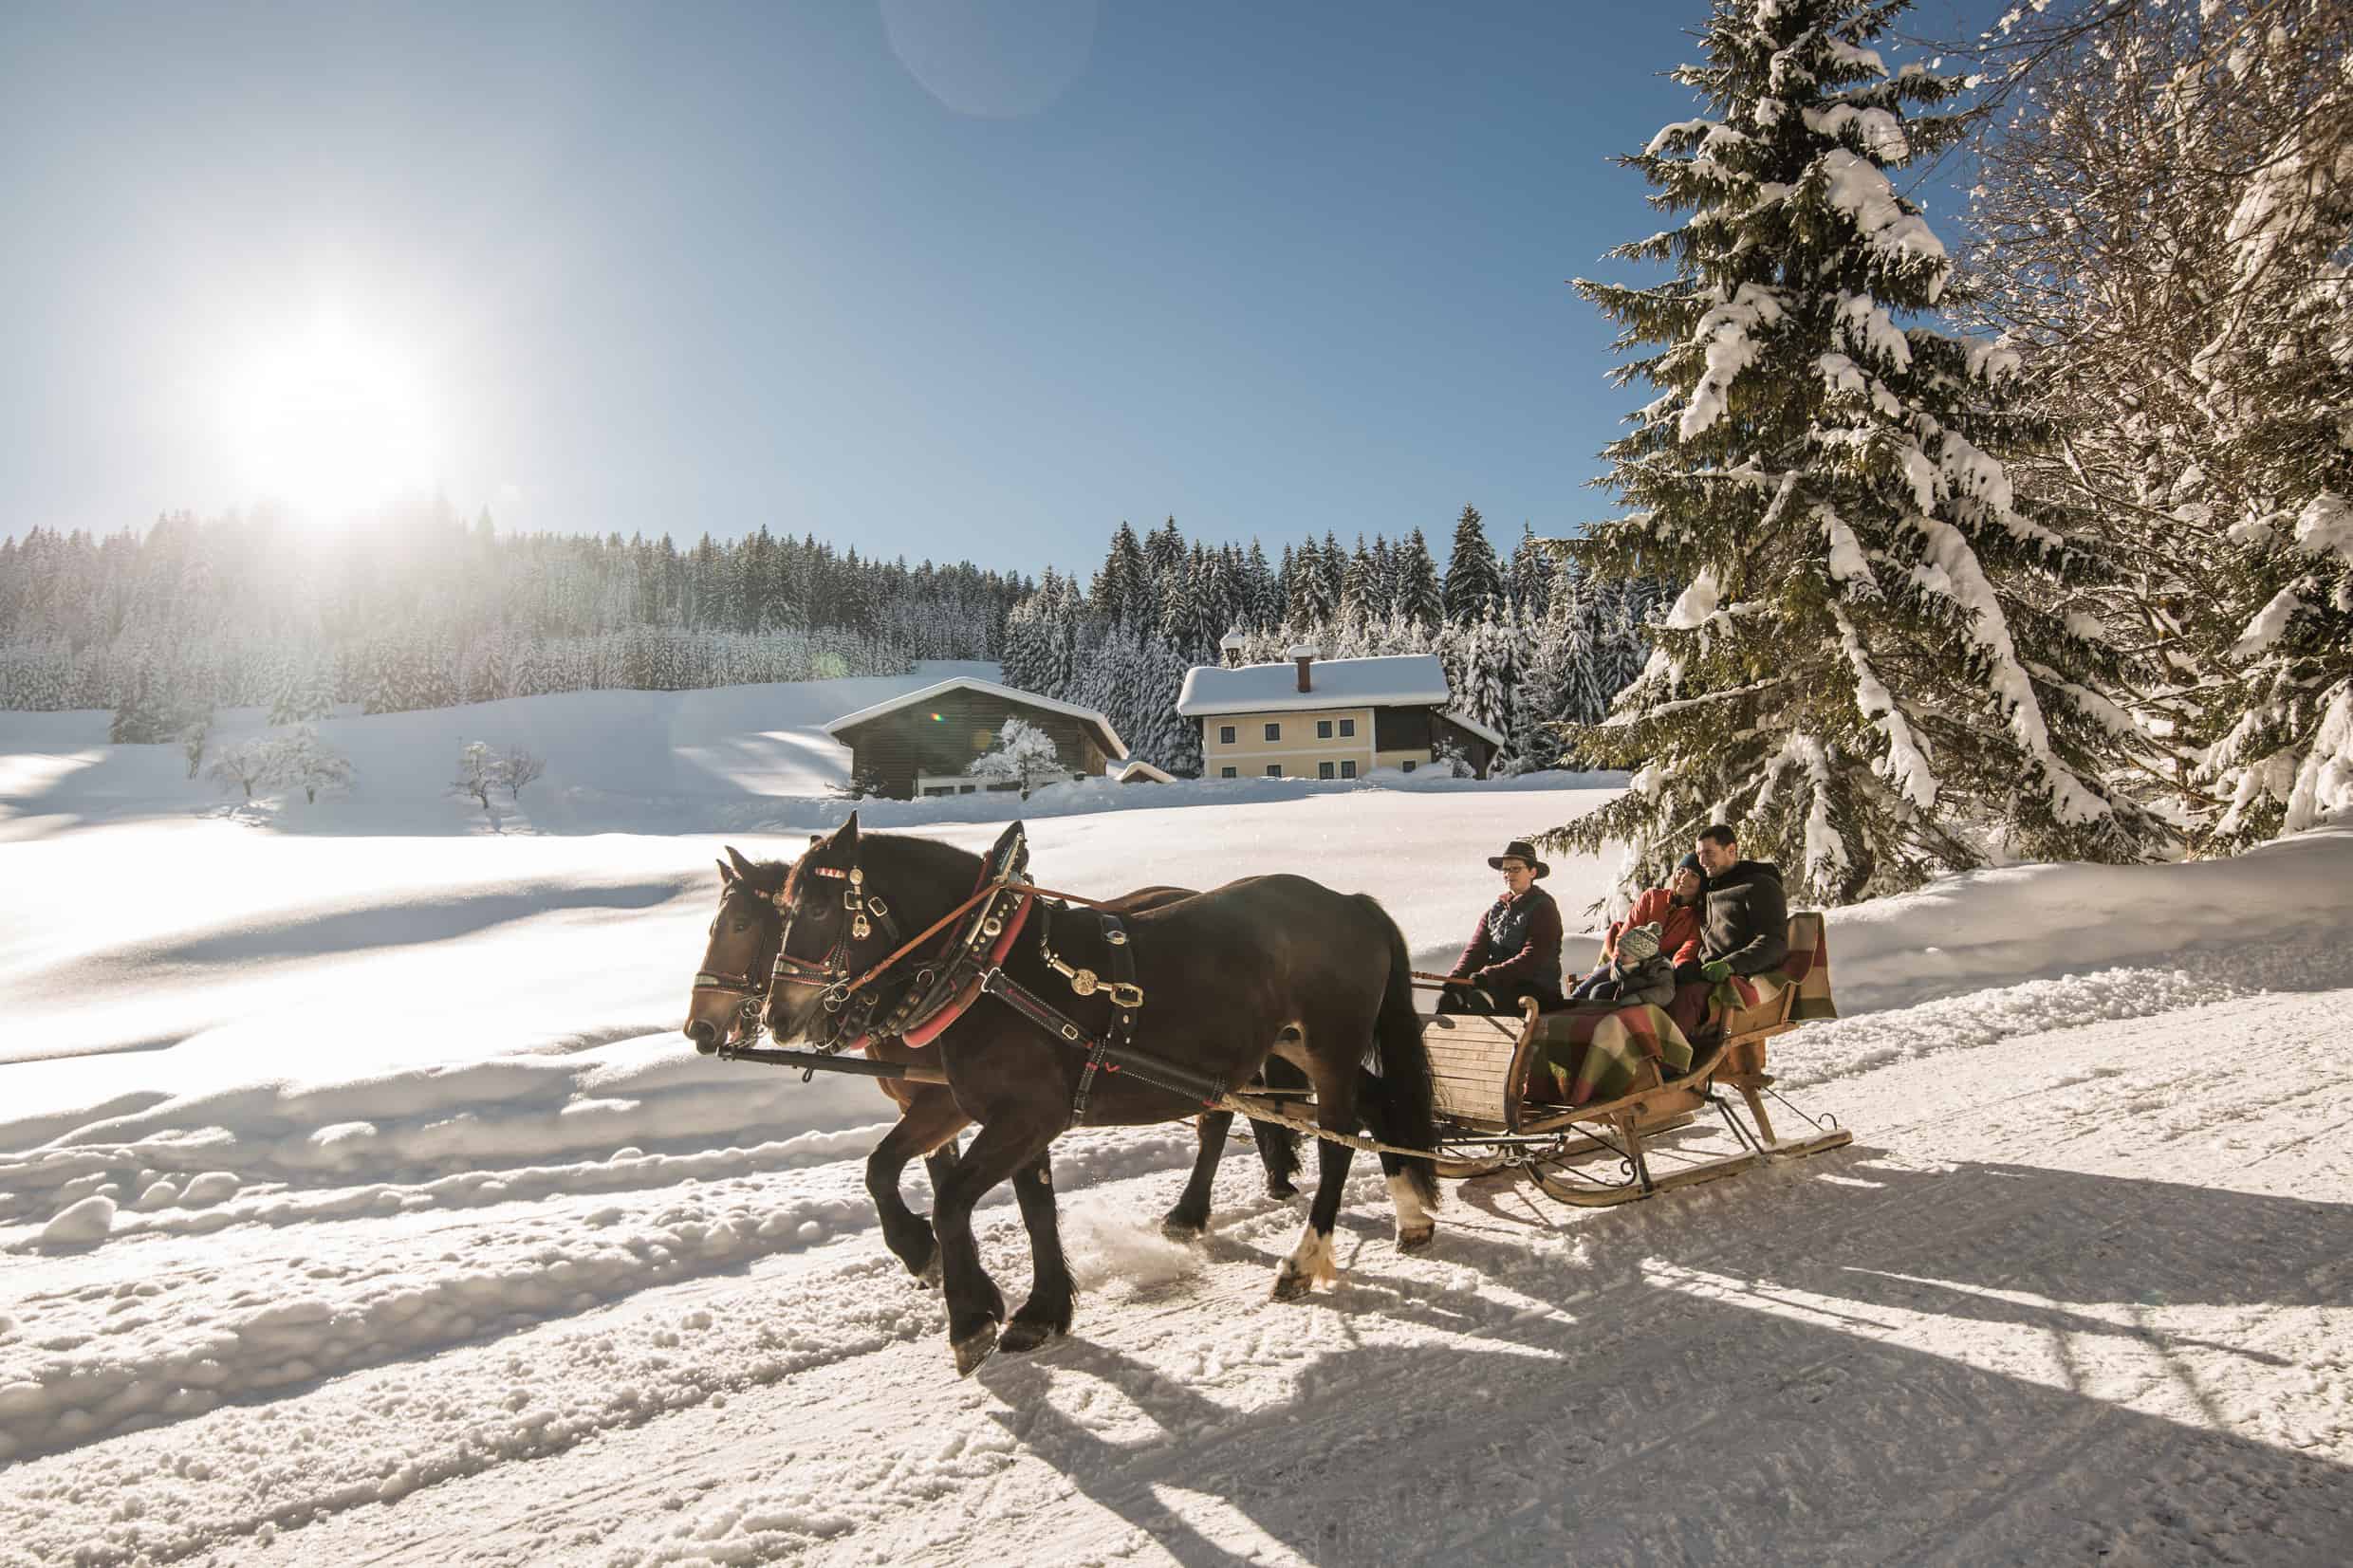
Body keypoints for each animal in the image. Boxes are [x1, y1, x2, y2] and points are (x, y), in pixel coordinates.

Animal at [682, 841, 1307, 1279]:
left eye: (740, 925)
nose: (698, 1028)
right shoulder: (930, 1103)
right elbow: (926, 1171)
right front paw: (943, 1257)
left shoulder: (954, 1099)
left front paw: (937, 1257)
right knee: (1235, 1108)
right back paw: (1265, 1179)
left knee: (1226, 1115)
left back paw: (1214, 1202)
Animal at [762, 818, 1439, 1382]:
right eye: (781, 910)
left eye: (818, 906)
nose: (777, 1017)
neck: (985, 965)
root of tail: (1350, 903)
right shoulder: (968, 1105)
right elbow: (899, 1173)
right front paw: (1004, 1295)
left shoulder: (1027, 1114)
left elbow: (953, 1201)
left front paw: (971, 1320)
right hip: (1298, 1047)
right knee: (1374, 1111)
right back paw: (1410, 1216)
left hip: (1330, 1047)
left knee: (1338, 1144)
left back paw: (1303, 1260)